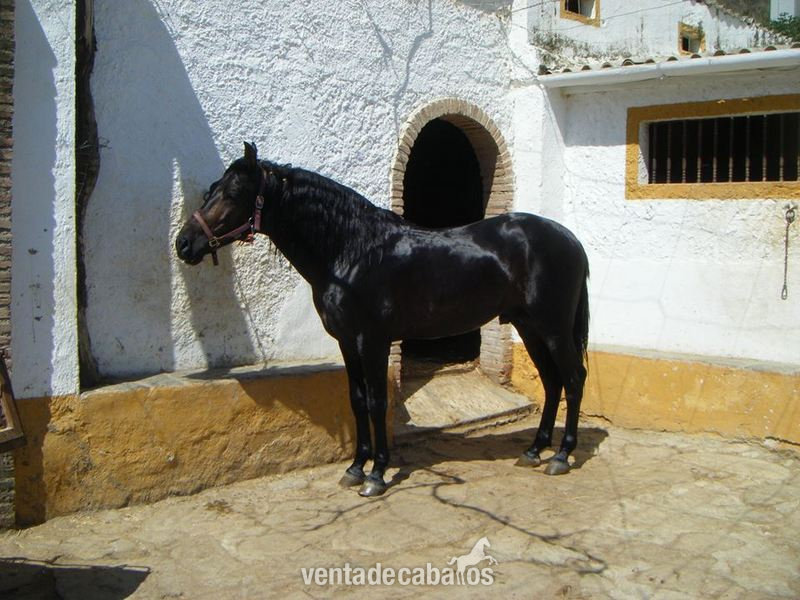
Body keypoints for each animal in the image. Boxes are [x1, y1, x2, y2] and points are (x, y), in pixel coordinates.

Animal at [175, 142, 589, 497]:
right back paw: (534, 451)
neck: (352, 251)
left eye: (233, 192)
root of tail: (570, 239)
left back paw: (561, 456)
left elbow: (377, 402)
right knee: (552, 382)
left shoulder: (373, 341)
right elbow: (357, 401)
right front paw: (356, 468)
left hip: (552, 327)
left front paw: (376, 474)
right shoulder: (347, 342)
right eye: (211, 189)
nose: (184, 243)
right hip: (529, 327)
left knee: (572, 378)